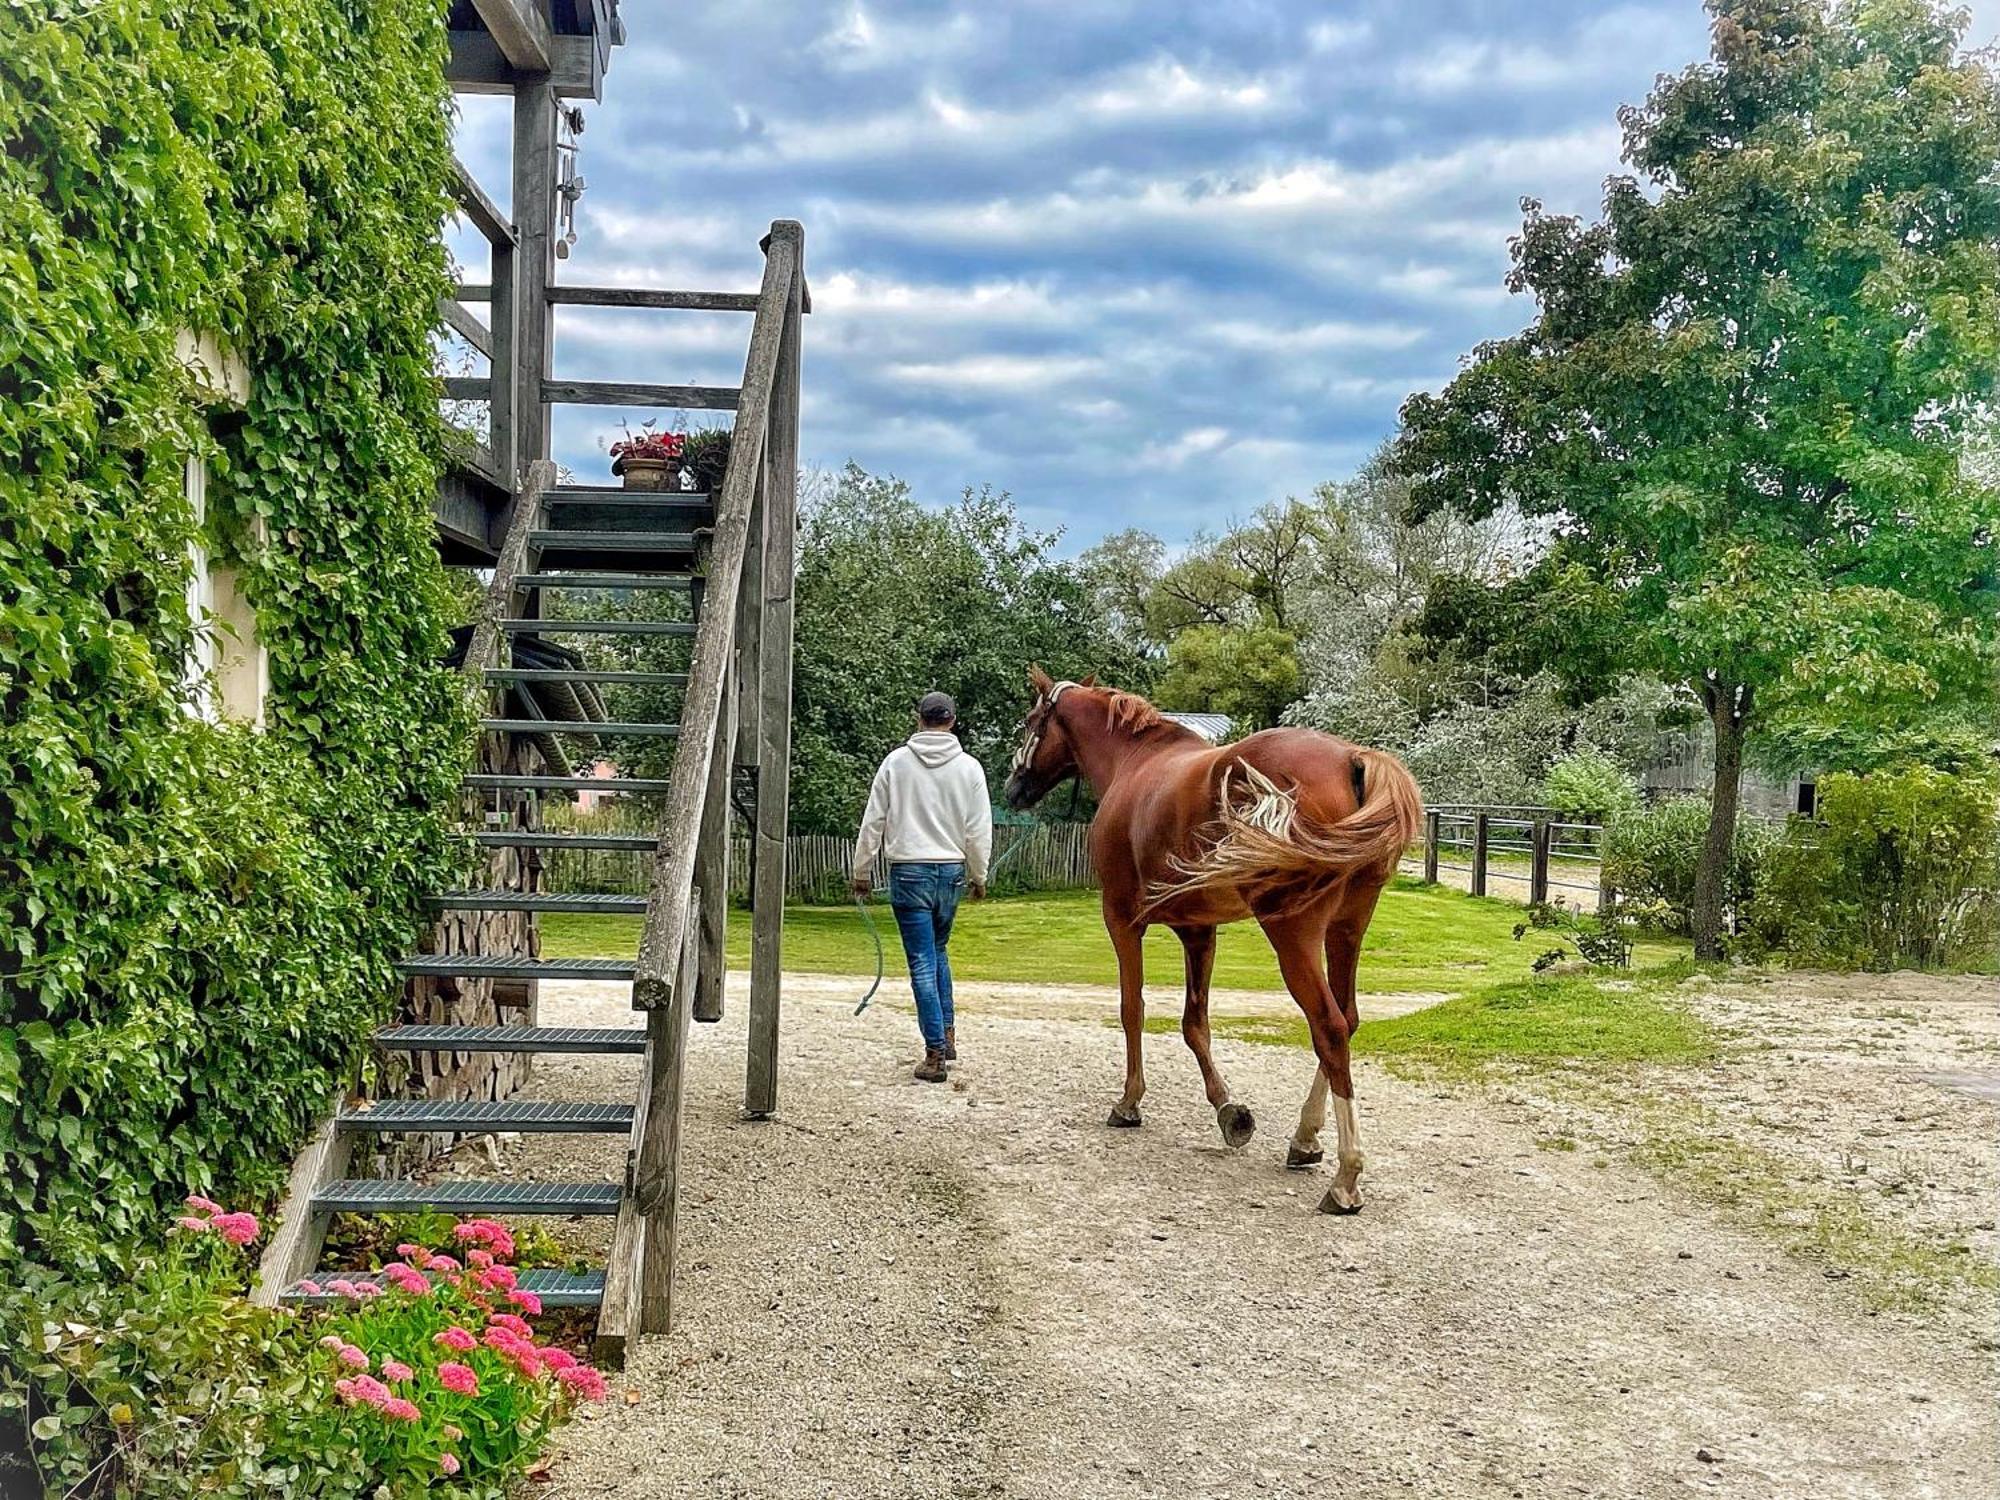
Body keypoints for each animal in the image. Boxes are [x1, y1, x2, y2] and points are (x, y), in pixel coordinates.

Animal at [1000, 676, 1424, 1216]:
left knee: (1329, 1028)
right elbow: (1194, 1025)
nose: (1013, 787)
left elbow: (1132, 1010)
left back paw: (1345, 1179)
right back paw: (1305, 1139)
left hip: (1295, 935)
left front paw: (1129, 1102)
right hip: (1346, 930)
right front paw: (1229, 1112)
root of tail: (1352, 759)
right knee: (1346, 1020)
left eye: (1030, 722)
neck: (1134, 760)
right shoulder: (1199, 932)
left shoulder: (1121, 922)